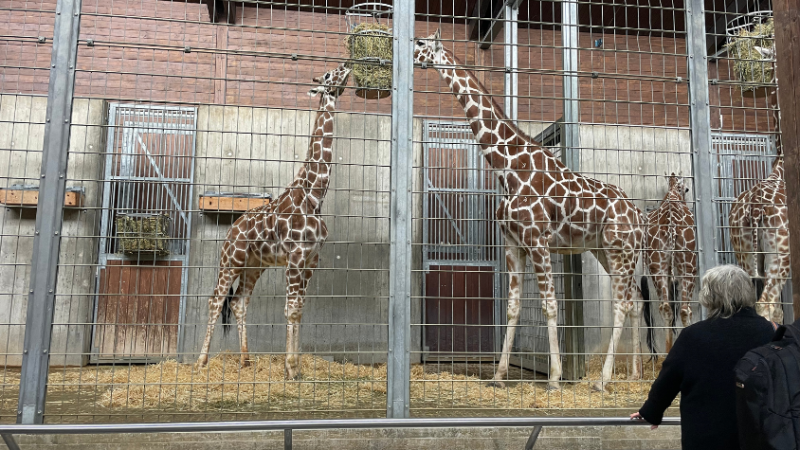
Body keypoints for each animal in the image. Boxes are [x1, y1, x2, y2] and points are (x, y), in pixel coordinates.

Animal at [196, 64, 350, 380]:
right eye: (329, 75)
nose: (346, 67)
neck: (314, 195)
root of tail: (232, 229)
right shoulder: (296, 256)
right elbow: (291, 309)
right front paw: (290, 368)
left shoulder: (312, 259)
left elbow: (300, 308)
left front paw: (297, 368)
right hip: (230, 260)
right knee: (215, 300)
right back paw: (201, 362)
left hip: (255, 265)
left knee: (239, 303)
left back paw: (245, 360)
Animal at [416, 30, 648, 390]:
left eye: (421, 44)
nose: (410, 55)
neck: (509, 169)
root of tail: (639, 217)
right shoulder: (514, 243)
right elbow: (512, 307)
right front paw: (498, 375)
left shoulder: (538, 241)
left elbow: (549, 305)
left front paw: (554, 377)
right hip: (608, 250)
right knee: (635, 299)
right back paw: (635, 374)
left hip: (619, 248)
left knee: (623, 302)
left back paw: (603, 379)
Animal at [640, 174, 696, 354]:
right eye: (686, 189)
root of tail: (671, 225)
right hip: (688, 264)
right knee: (685, 309)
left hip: (657, 266)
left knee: (666, 308)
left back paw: (667, 351)